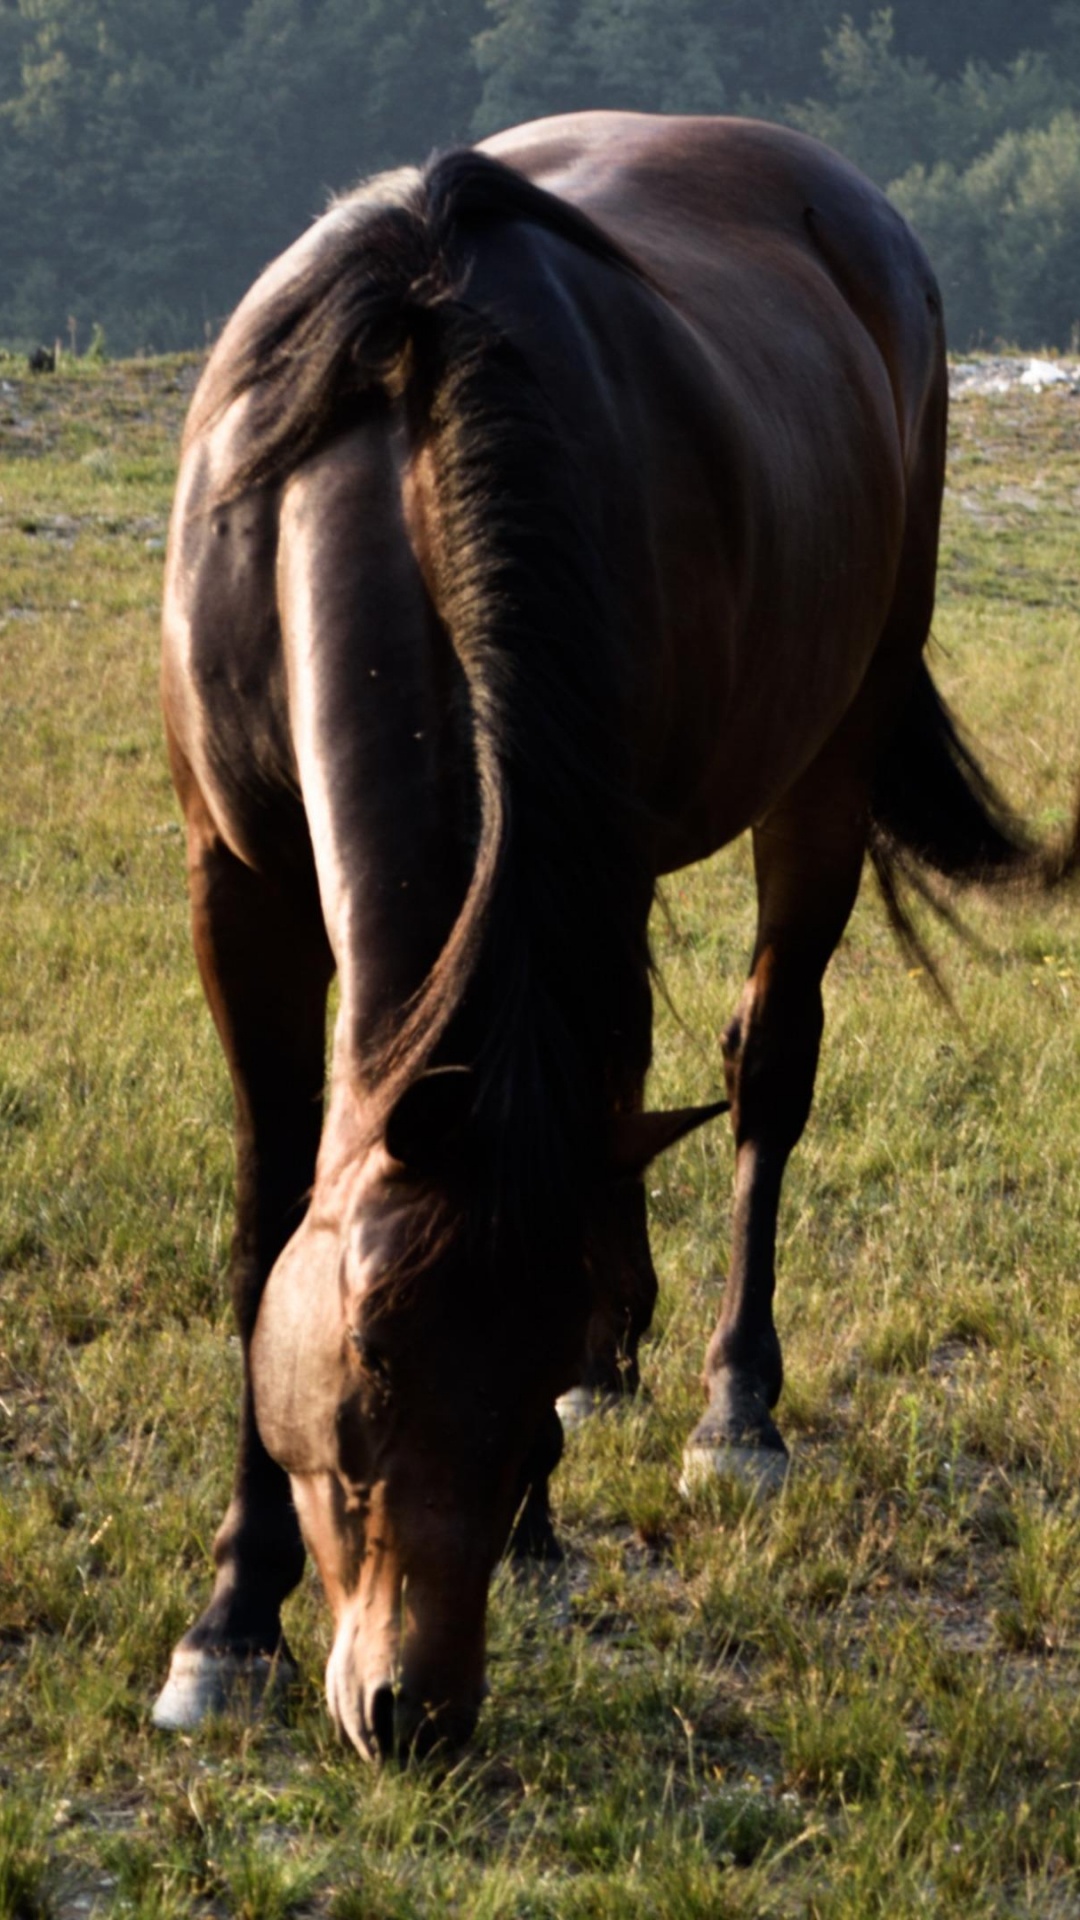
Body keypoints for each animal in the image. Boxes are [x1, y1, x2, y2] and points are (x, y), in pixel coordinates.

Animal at [154, 111, 1060, 1760]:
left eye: (506, 1398)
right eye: (368, 1368)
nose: (415, 1712)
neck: (394, 439)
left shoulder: (590, 844)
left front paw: (544, 1508)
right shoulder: (235, 885)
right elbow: (265, 1226)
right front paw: (228, 1622)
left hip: (825, 764)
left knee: (765, 1066)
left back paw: (730, 1409)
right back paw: (628, 1360)